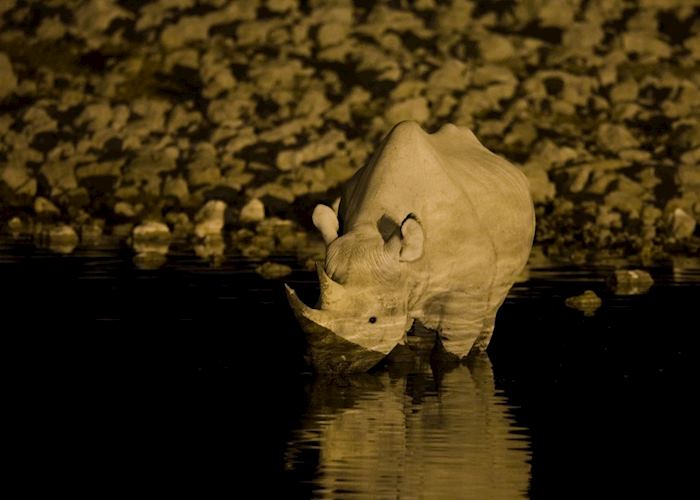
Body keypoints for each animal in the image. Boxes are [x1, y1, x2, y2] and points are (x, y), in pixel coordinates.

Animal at [285, 121, 535, 372]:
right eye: (317, 303)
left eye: (373, 320)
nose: (327, 365)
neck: (369, 230)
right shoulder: (397, 283)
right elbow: (399, 351)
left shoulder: (465, 299)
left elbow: (448, 355)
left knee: (491, 309)